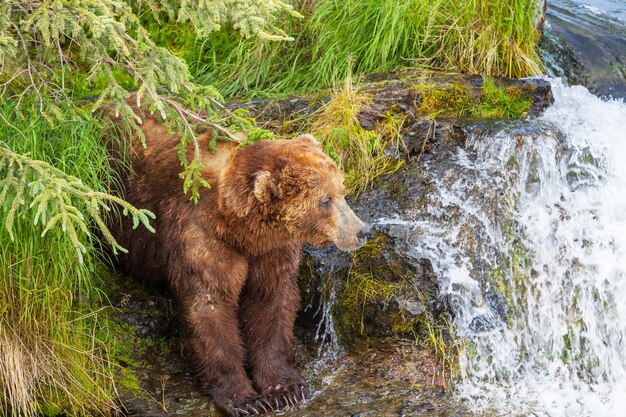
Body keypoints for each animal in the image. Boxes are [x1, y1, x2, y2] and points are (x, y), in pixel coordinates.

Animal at [106, 101, 368, 416]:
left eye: (342, 191)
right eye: (325, 200)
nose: (362, 230)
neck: (239, 227)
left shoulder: (269, 250)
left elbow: (271, 302)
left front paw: (285, 388)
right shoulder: (200, 233)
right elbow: (211, 306)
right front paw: (246, 399)